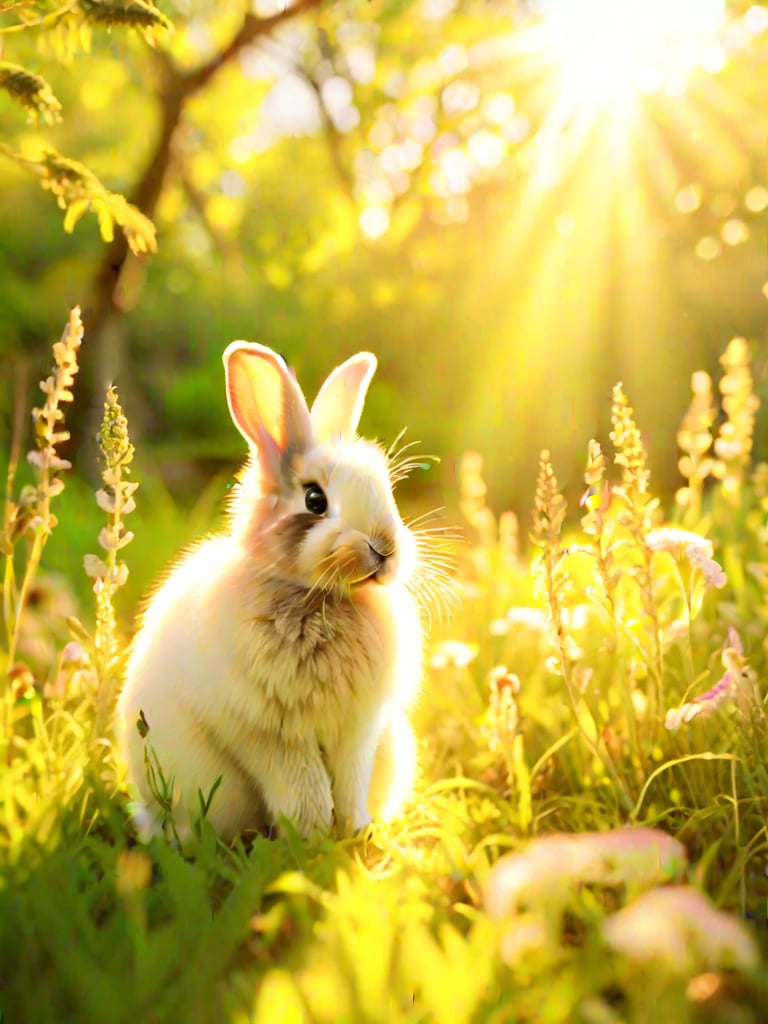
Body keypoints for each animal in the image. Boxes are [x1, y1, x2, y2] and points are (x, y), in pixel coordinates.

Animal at [117, 339, 450, 843]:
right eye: (315, 500)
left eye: (386, 491)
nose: (385, 548)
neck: (319, 597)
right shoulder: (270, 734)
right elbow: (304, 790)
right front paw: (312, 839)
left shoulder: (358, 730)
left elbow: (349, 783)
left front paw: (354, 830)